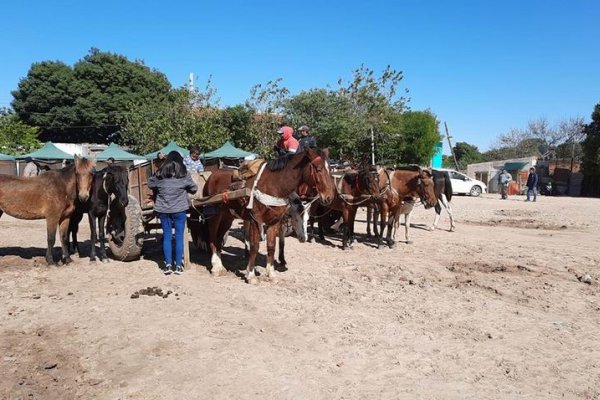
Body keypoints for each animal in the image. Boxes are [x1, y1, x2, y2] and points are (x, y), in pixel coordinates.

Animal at [202, 148, 332, 284]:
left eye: (329, 169)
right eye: (318, 168)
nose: (329, 197)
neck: (273, 185)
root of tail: (212, 176)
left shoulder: (274, 221)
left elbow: (271, 246)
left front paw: (271, 274)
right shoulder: (255, 220)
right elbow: (254, 246)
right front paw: (251, 275)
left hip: (227, 217)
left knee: (218, 238)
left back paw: (220, 266)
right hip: (214, 215)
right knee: (212, 237)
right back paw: (215, 267)